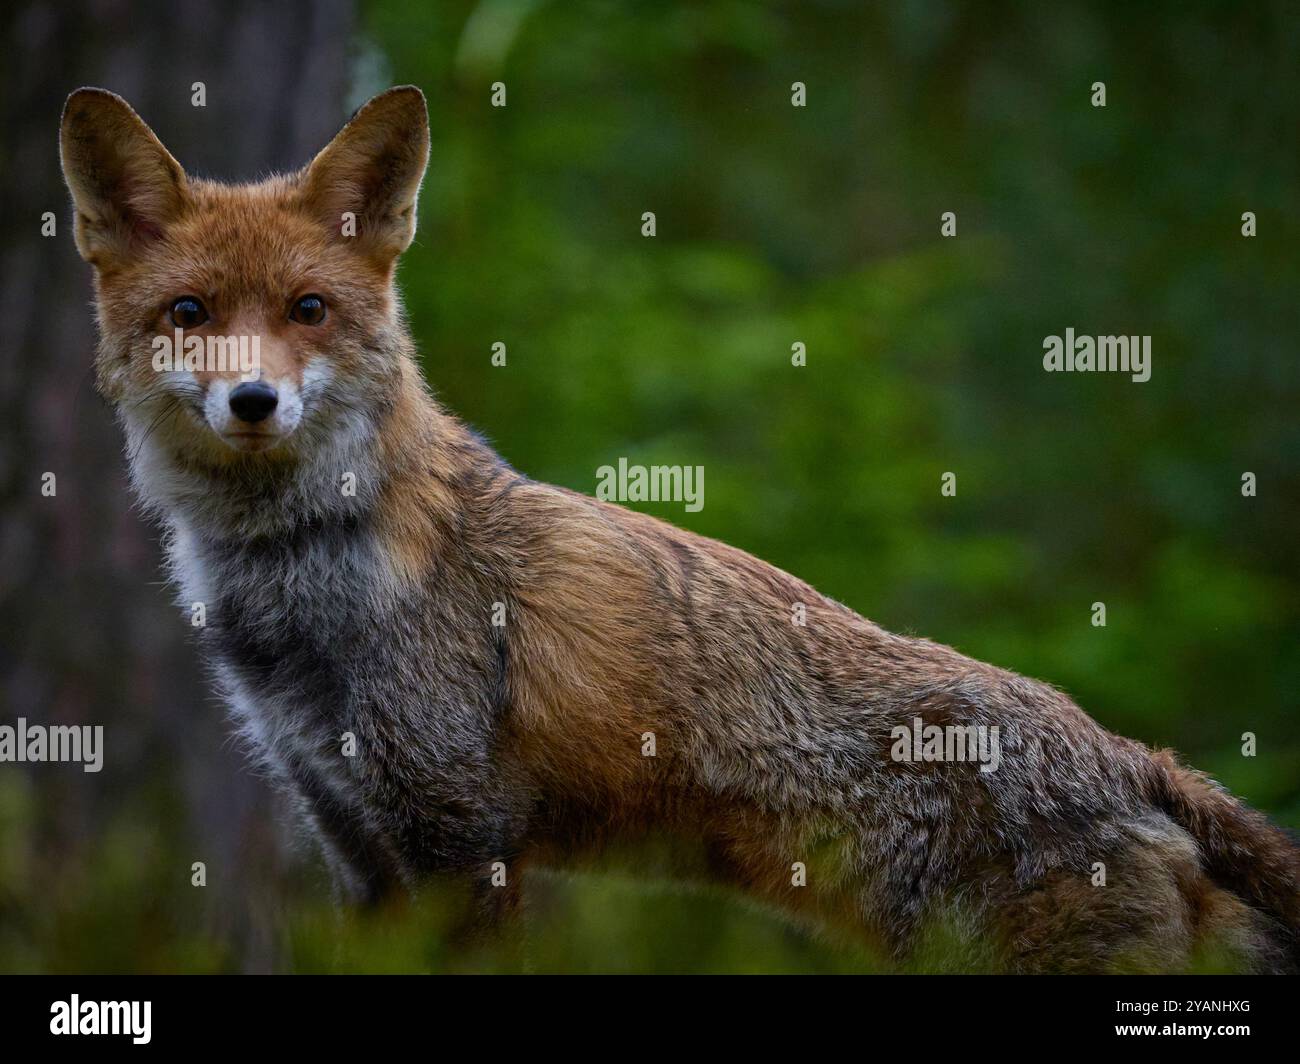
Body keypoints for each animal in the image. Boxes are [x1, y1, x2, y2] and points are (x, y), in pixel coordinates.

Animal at [63, 85, 1300, 967]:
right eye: (189, 314)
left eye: (308, 310)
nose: (252, 401)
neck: (306, 580)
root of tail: (1131, 754)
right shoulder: (357, 843)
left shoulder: (466, 841)